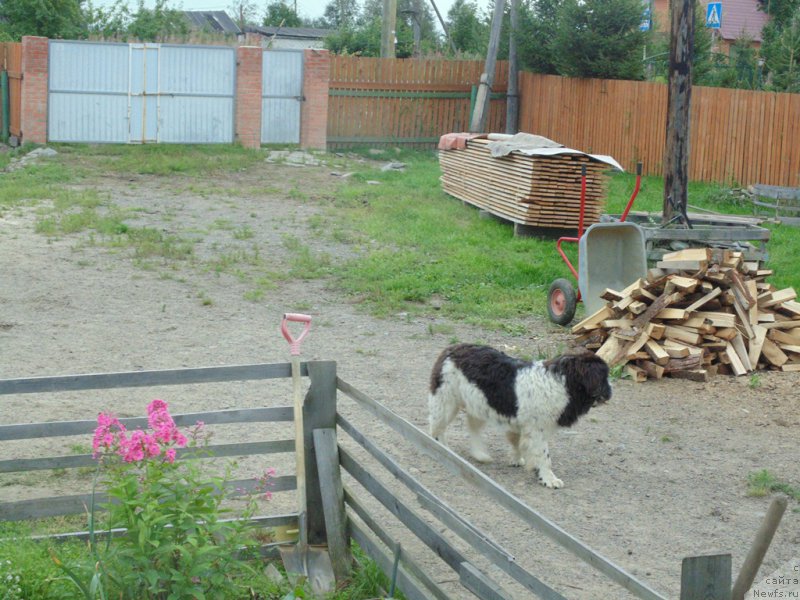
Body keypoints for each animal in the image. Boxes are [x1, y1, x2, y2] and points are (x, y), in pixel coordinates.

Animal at [432, 344, 612, 490]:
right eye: (604, 377)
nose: (611, 392)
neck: (563, 382)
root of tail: (451, 349)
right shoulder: (537, 429)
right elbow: (544, 456)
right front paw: (549, 479)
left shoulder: (520, 423)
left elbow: (517, 442)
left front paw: (518, 460)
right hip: (446, 401)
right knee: (437, 428)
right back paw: (442, 448)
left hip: (478, 402)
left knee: (472, 426)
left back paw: (480, 454)